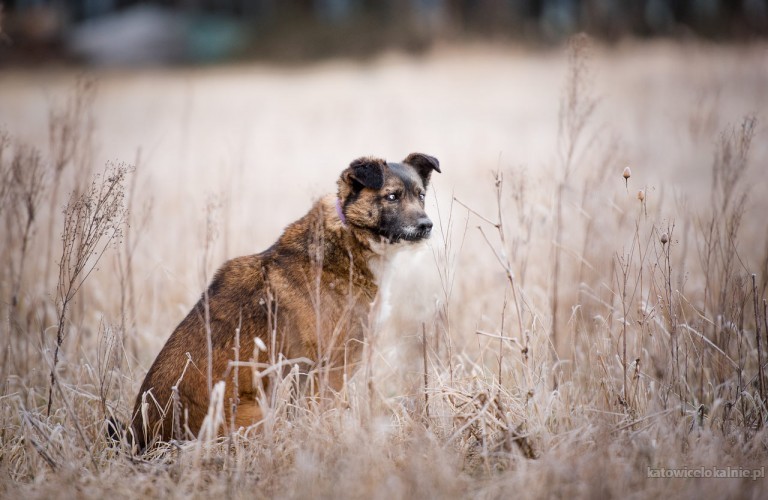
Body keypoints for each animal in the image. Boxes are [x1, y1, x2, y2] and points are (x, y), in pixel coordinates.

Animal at [130, 151, 440, 450]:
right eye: (392, 196)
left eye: (421, 195)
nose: (427, 226)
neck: (351, 237)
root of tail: (141, 436)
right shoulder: (331, 365)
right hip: (258, 412)